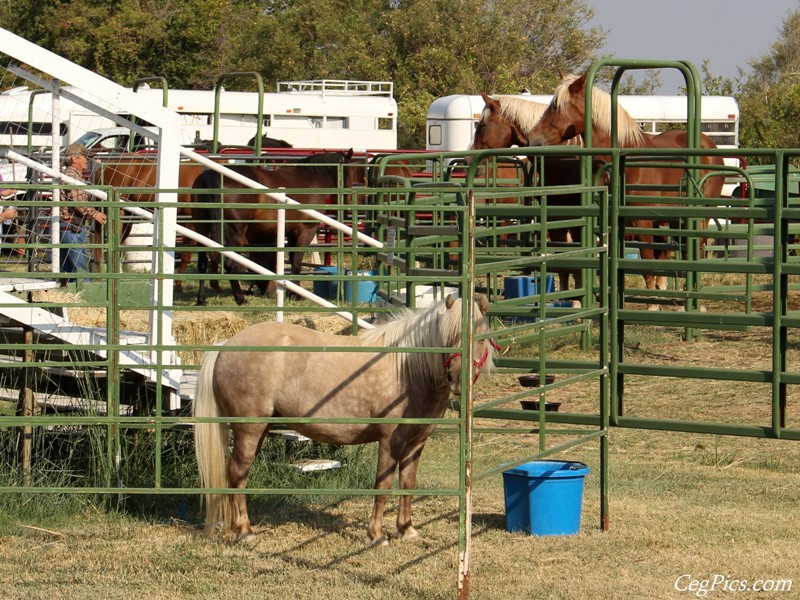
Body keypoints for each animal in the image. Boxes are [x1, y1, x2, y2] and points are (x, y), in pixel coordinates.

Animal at [189, 149, 354, 308]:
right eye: (349, 171)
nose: (348, 206)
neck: (311, 181)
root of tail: (212, 176)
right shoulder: (306, 230)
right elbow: (297, 263)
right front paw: (295, 294)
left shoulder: (292, 233)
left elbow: (293, 260)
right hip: (235, 233)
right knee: (230, 265)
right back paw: (240, 298)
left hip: (202, 229)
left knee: (202, 263)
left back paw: (201, 299)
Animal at [194, 292, 494, 548]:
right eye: (448, 336)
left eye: (480, 338)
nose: (457, 380)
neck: (408, 370)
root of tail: (226, 344)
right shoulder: (390, 441)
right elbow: (383, 485)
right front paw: (377, 535)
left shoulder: (416, 442)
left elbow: (408, 484)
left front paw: (406, 529)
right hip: (249, 429)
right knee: (237, 472)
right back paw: (245, 531)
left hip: (259, 429)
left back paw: (236, 528)